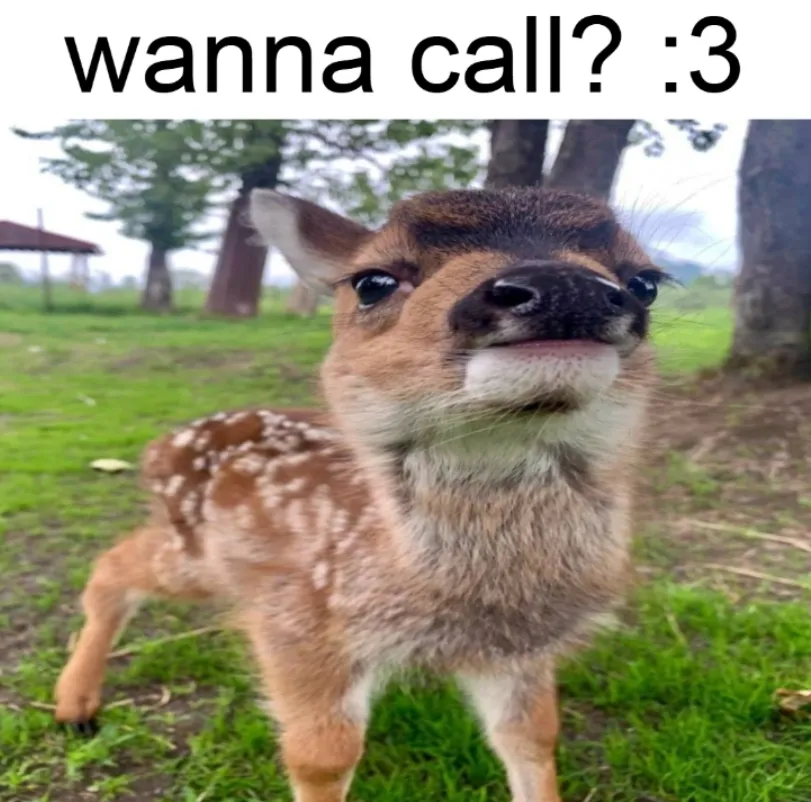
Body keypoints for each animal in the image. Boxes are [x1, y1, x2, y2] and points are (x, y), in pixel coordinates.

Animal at [53, 185, 665, 802]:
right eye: (372, 281)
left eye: (646, 281)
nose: (565, 286)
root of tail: (161, 447)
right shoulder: (295, 622)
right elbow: (322, 756)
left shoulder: (518, 649)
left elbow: (533, 736)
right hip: (199, 556)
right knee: (111, 565)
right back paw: (74, 706)